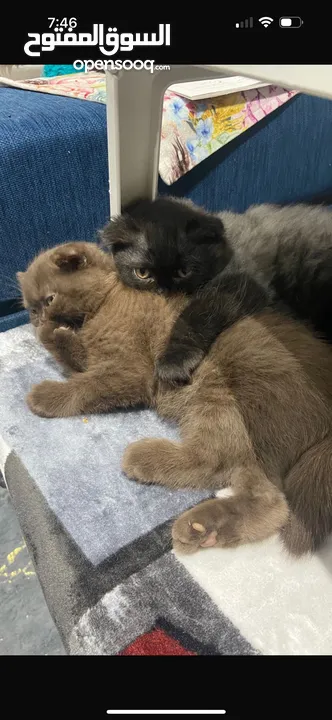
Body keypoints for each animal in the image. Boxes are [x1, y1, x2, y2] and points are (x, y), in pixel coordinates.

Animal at [18, 242, 332, 556]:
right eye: (31, 309)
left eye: (49, 298)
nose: (38, 319)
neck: (107, 302)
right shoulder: (94, 358)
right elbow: (76, 361)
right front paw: (54, 335)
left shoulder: (128, 370)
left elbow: (86, 386)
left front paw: (46, 392)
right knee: (269, 500)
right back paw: (203, 528)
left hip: (219, 397)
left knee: (217, 462)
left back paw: (145, 459)